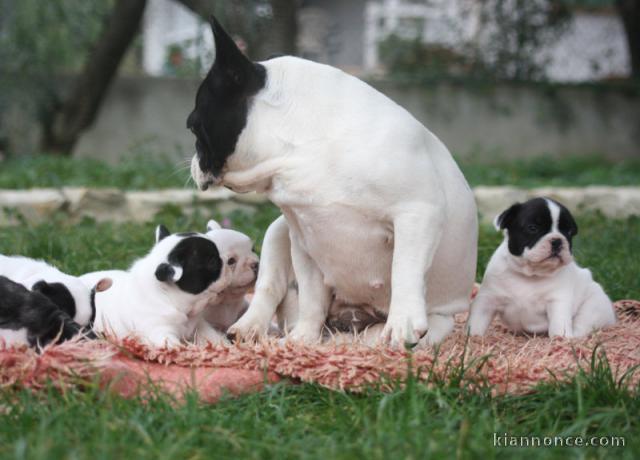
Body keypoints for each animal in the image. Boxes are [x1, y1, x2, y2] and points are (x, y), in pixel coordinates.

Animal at [80, 221, 258, 346]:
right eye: (213, 262)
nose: (226, 261)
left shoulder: (199, 325)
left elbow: (212, 336)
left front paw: (226, 346)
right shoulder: (159, 332)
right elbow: (175, 347)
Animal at [188, 18, 478, 348]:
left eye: (194, 126)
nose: (194, 162)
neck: (303, 148)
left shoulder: (418, 211)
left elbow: (404, 267)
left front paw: (401, 323)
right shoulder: (304, 237)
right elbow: (312, 296)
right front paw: (302, 339)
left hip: (440, 317)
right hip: (278, 233)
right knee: (270, 286)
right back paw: (251, 326)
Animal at [468, 198, 616, 338]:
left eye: (568, 232)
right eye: (533, 228)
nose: (557, 240)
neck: (530, 274)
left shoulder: (558, 301)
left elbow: (559, 322)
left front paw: (560, 339)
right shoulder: (487, 299)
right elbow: (477, 320)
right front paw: (473, 336)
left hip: (593, 306)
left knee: (582, 324)